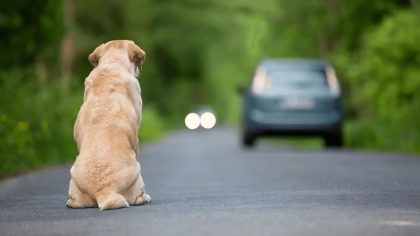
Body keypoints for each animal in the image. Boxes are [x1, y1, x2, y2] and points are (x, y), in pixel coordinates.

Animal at [65, 40, 151, 210]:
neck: (112, 64)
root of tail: (103, 190)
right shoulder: (136, 140)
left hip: (73, 175)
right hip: (136, 170)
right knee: (138, 197)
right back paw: (145, 198)